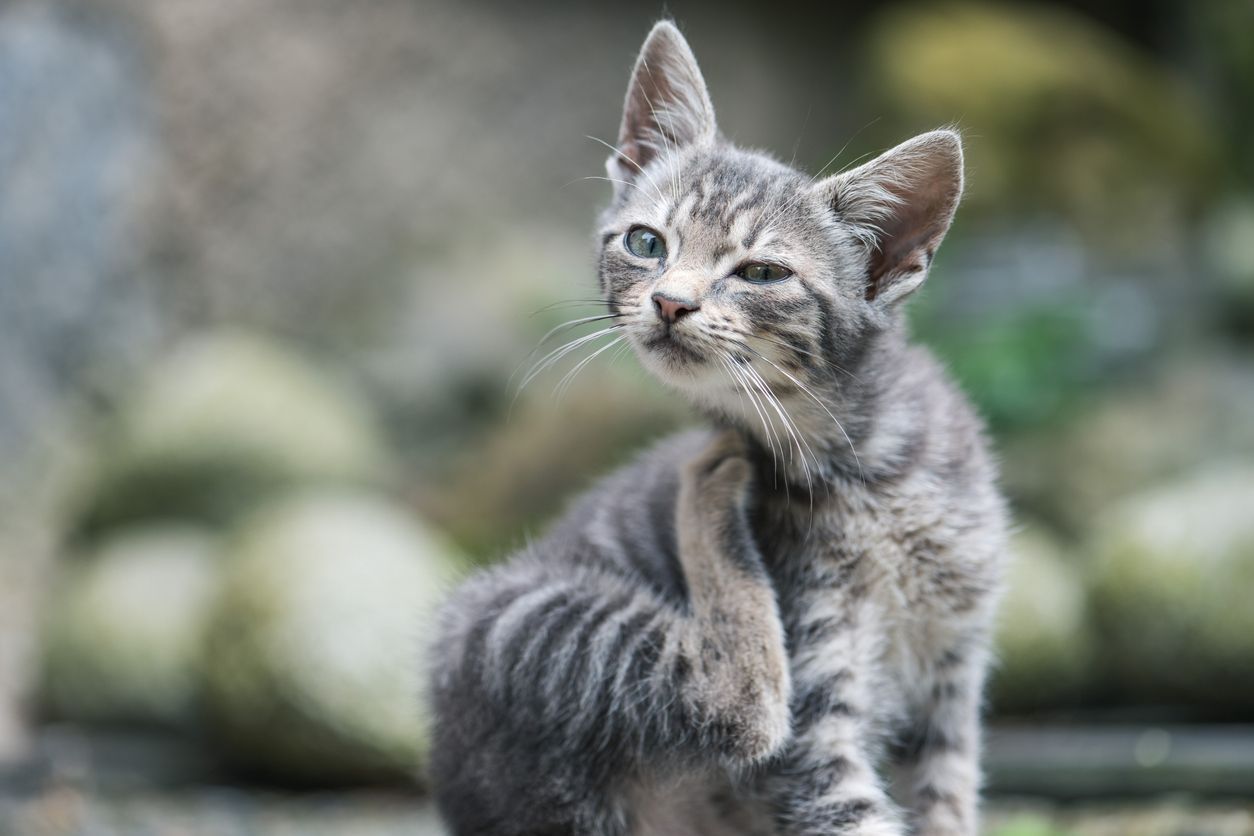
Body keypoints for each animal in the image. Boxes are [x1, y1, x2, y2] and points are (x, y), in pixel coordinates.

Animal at [431, 21, 1008, 836]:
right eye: (646, 243)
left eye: (761, 273)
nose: (671, 302)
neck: (869, 468)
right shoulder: (817, 693)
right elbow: (834, 793)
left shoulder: (952, 672)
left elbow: (946, 799)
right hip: (515, 615)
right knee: (735, 707)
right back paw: (708, 489)